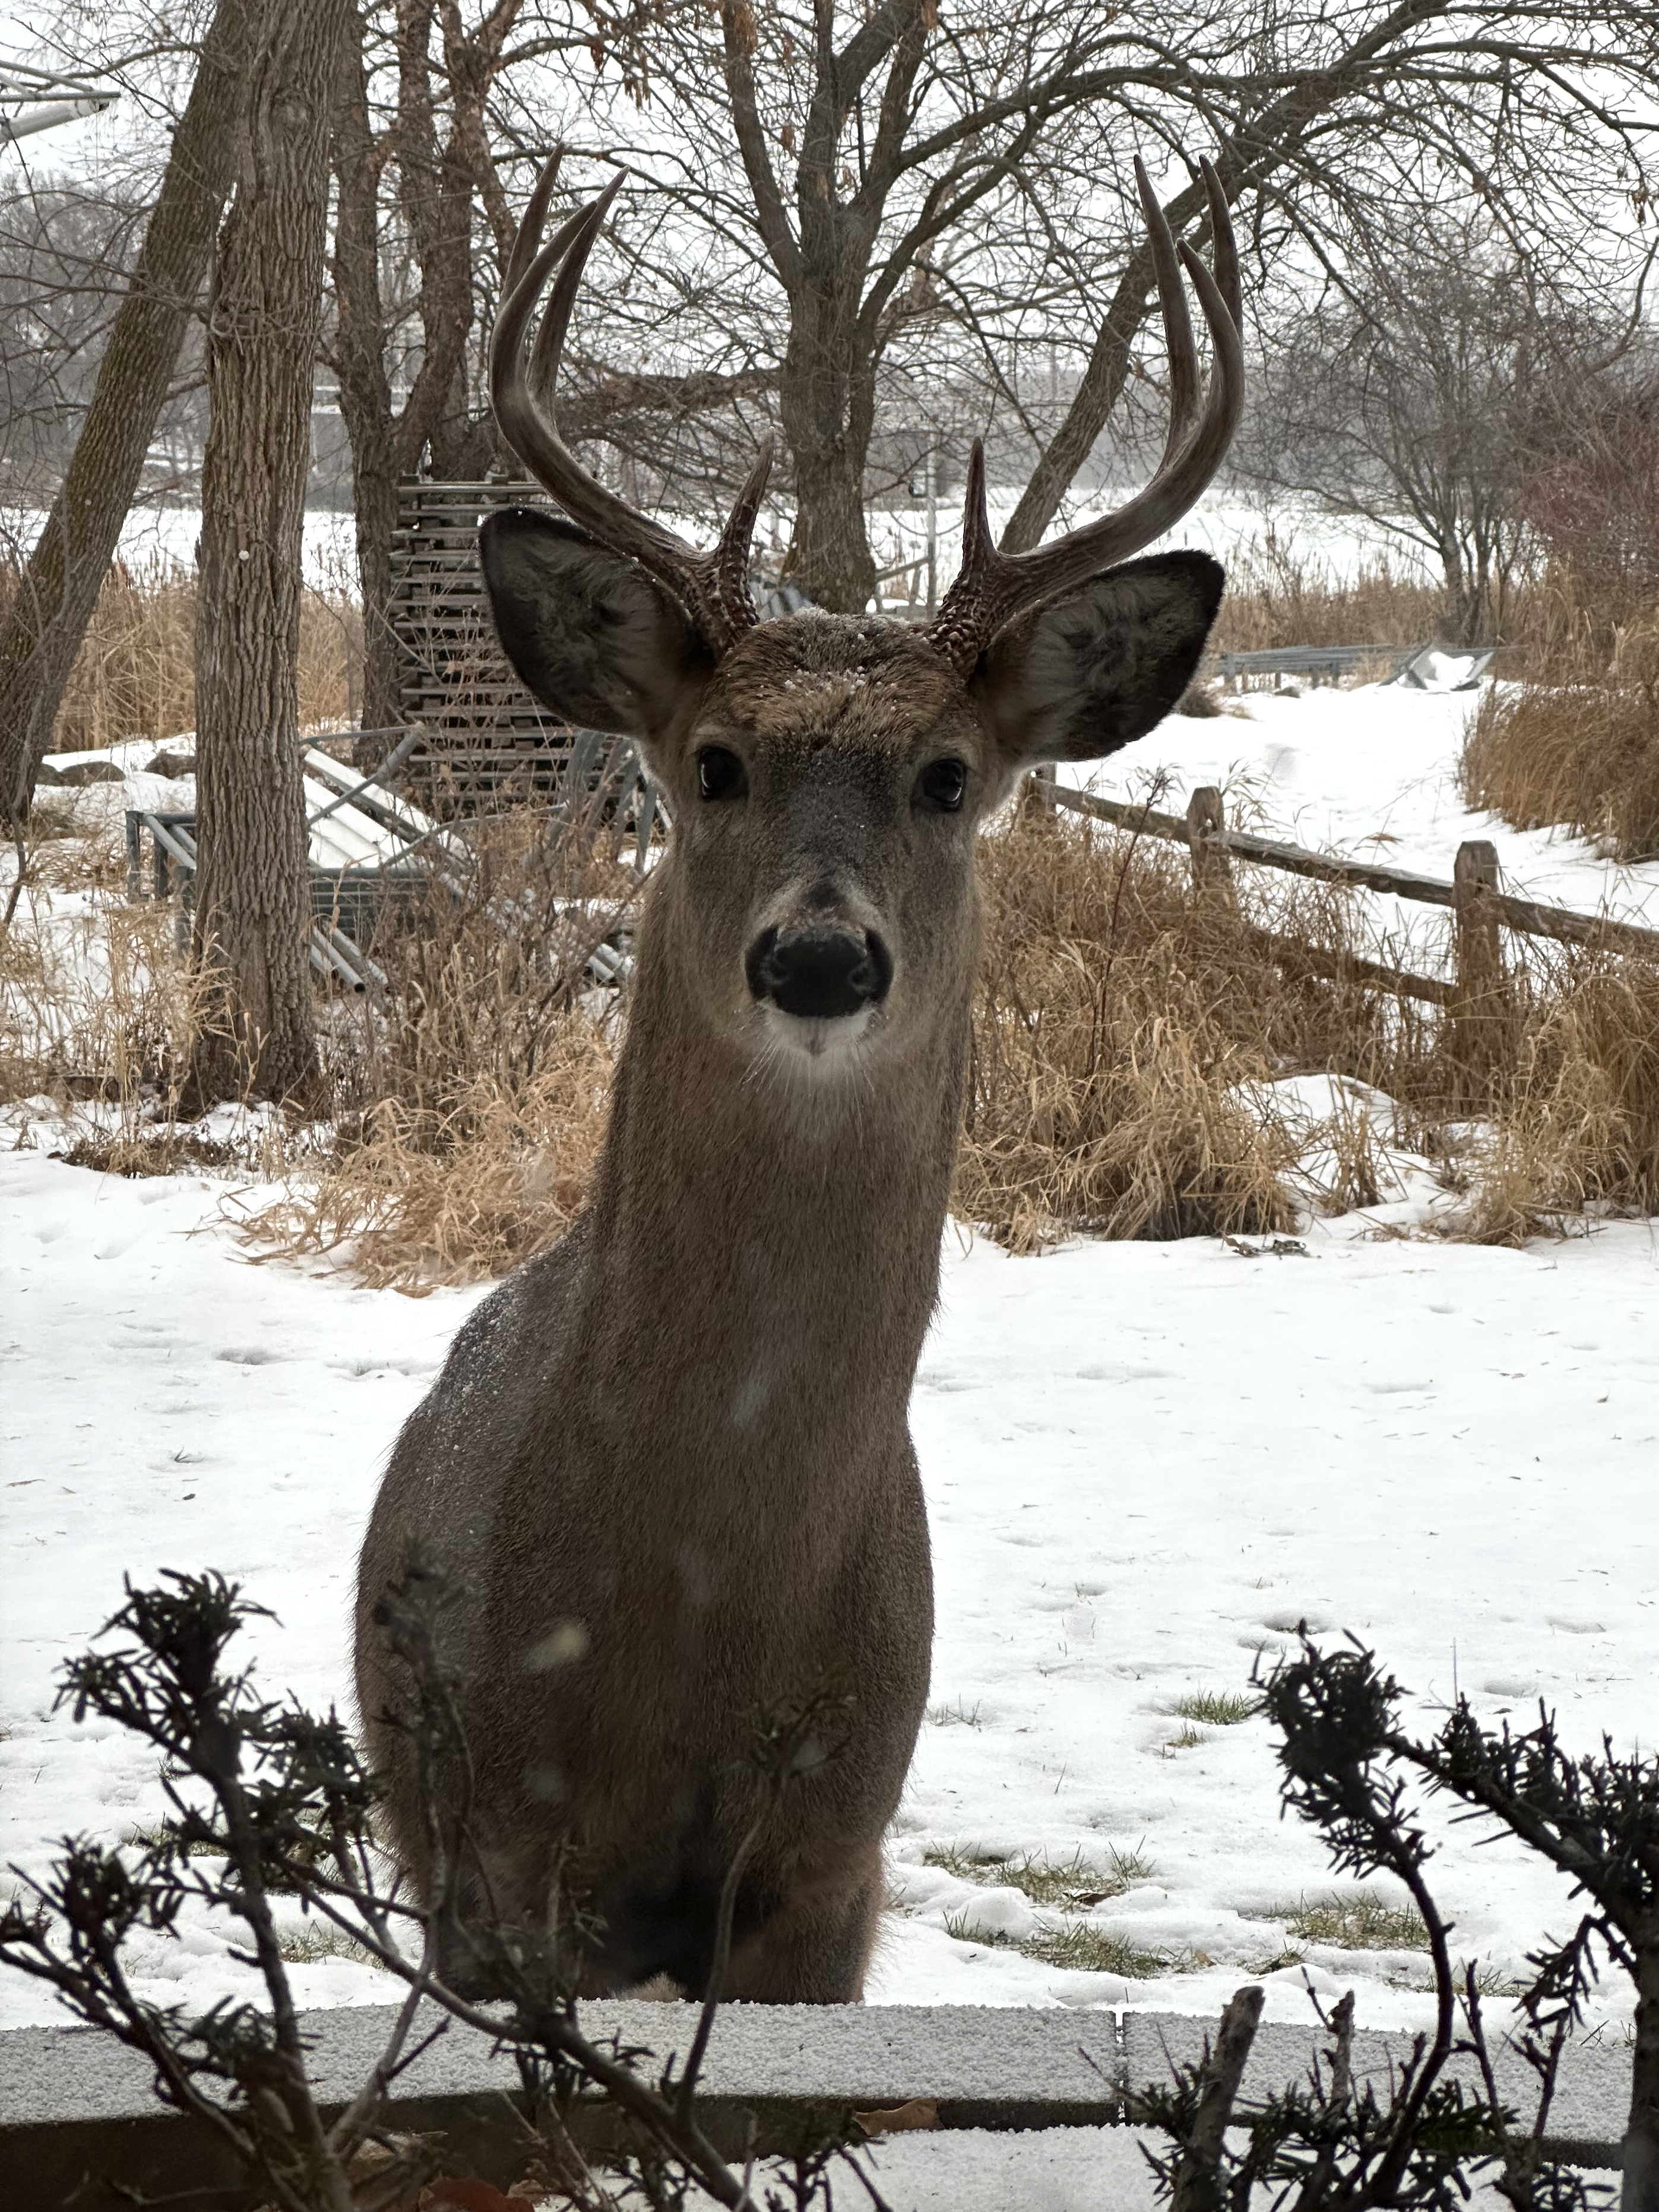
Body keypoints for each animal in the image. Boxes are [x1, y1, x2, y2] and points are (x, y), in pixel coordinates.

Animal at [356, 151, 1243, 2004]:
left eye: (947, 774)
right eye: (713, 761)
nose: (820, 959)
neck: (696, 1634)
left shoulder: (833, 1874)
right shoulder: (510, 1871)